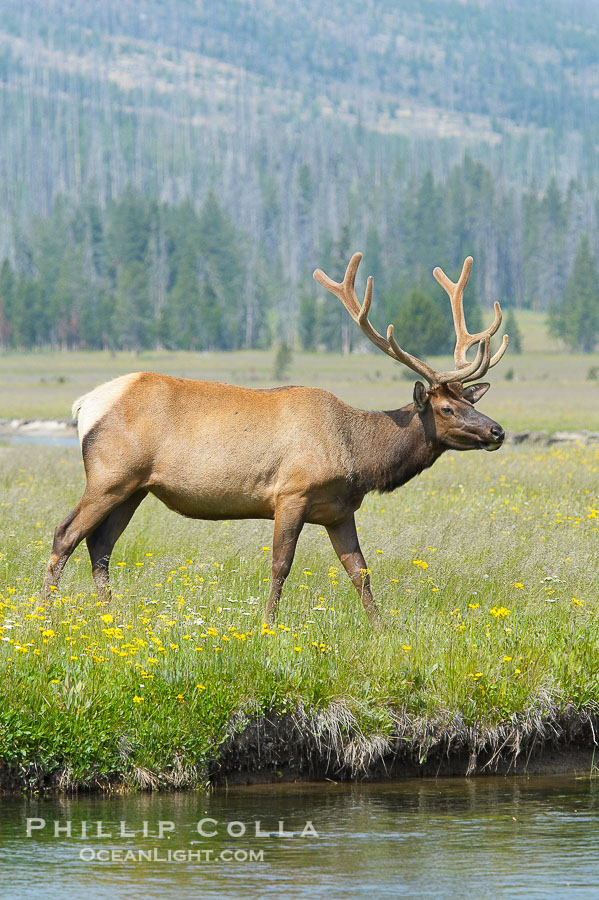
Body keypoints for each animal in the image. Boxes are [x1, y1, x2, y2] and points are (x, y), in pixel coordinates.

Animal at [41, 253, 508, 626]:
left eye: (469, 399)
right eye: (445, 409)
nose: (496, 430)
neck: (358, 455)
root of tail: (85, 405)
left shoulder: (339, 510)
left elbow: (359, 570)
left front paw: (382, 628)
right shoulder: (291, 493)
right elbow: (280, 564)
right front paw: (267, 625)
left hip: (136, 488)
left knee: (100, 545)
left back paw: (111, 615)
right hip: (110, 475)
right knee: (66, 533)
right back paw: (43, 613)